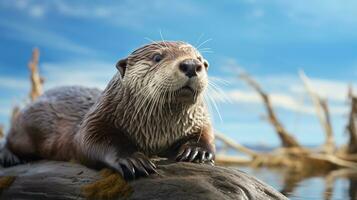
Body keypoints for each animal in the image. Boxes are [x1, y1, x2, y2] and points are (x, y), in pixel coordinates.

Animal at [0, 41, 214, 180]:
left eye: (200, 59)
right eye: (157, 57)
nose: (191, 64)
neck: (157, 133)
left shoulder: (198, 120)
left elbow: (205, 135)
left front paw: (197, 152)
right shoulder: (97, 119)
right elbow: (90, 141)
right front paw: (132, 159)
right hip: (26, 126)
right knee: (11, 139)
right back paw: (9, 157)